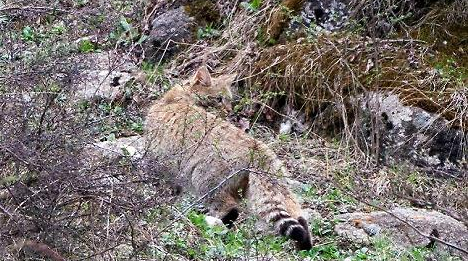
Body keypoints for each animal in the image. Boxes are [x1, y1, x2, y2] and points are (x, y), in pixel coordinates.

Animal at [144, 66, 312, 249]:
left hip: (207, 181)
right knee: (297, 213)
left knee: (230, 208)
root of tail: (259, 149)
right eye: (219, 99)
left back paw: (208, 221)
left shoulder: (161, 160)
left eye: (228, 100)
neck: (178, 97)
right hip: (270, 188)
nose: (230, 111)